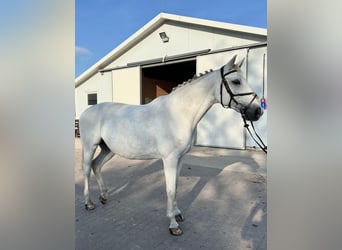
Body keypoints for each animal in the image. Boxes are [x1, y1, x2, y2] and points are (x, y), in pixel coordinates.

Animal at [79, 53, 264, 235]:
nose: (258, 111)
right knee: (87, 169)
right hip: (89, 147)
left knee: (96, 165)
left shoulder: (180, 158)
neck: (177, 114)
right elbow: (170, 189)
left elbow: (175, 186)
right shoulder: (170, 159)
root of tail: (86, 111)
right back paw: (88, 203)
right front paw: (173, 224)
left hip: (108, 149)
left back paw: (103, 196)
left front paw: (177, 213)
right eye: (236, 81)